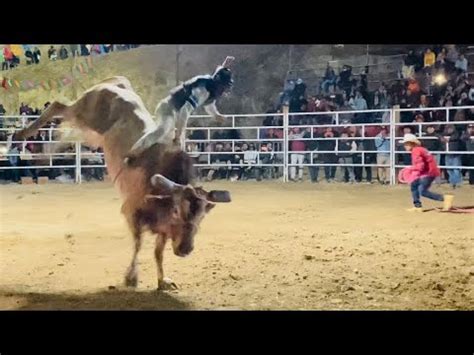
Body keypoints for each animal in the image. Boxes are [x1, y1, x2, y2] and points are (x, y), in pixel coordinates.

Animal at [14, 76, 230, 290]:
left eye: (202, 216)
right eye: (177, 211)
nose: (185, 249)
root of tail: (116, 84)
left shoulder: (163, 229)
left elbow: (158, 253)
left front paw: (163, 281)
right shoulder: (131, 212)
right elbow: (138, 245)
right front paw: (131, 277)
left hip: (90, 131)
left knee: (67, 132)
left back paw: (44, 153)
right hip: (86, 114)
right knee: (58, 106)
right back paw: (22, 134)